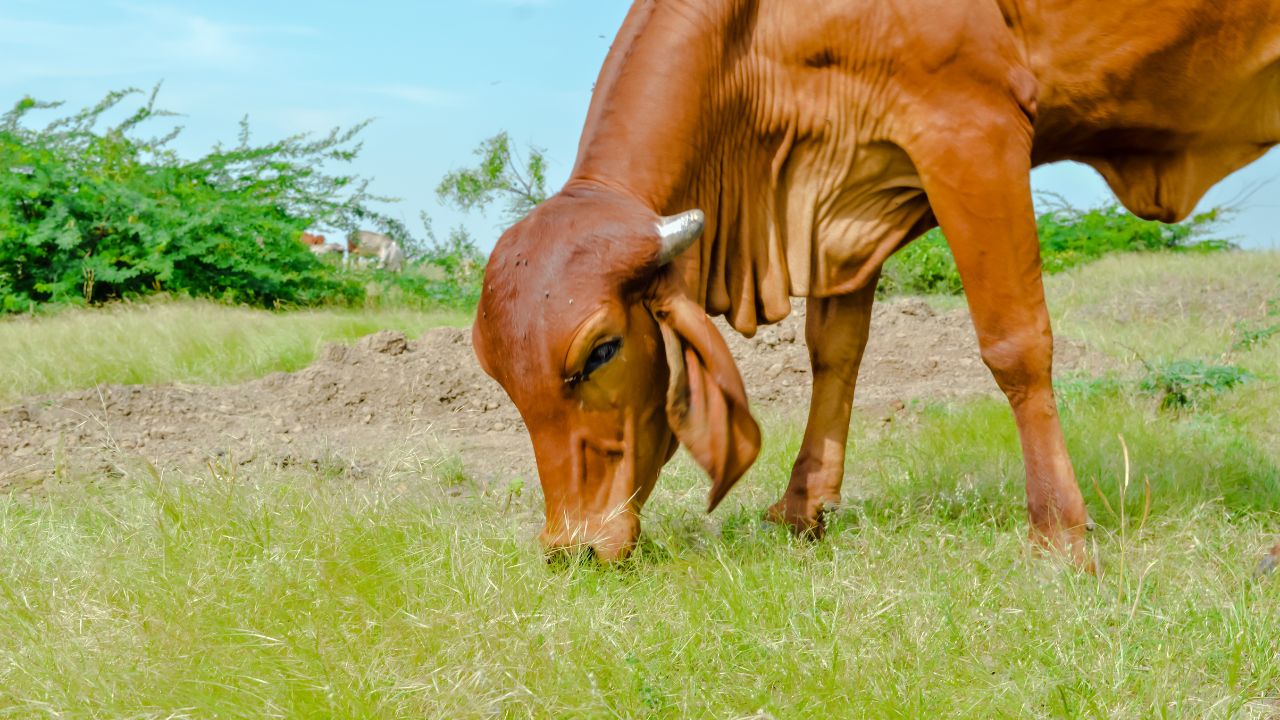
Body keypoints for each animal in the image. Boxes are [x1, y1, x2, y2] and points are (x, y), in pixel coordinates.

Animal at [472, 0, 1280, 565]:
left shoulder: (972, 127)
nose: (571, 548)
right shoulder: (837, 195)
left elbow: (1016, 345)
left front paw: (1060, 535)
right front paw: (803, 507)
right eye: (498, 375)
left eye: (602, 352)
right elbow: (834, 349)